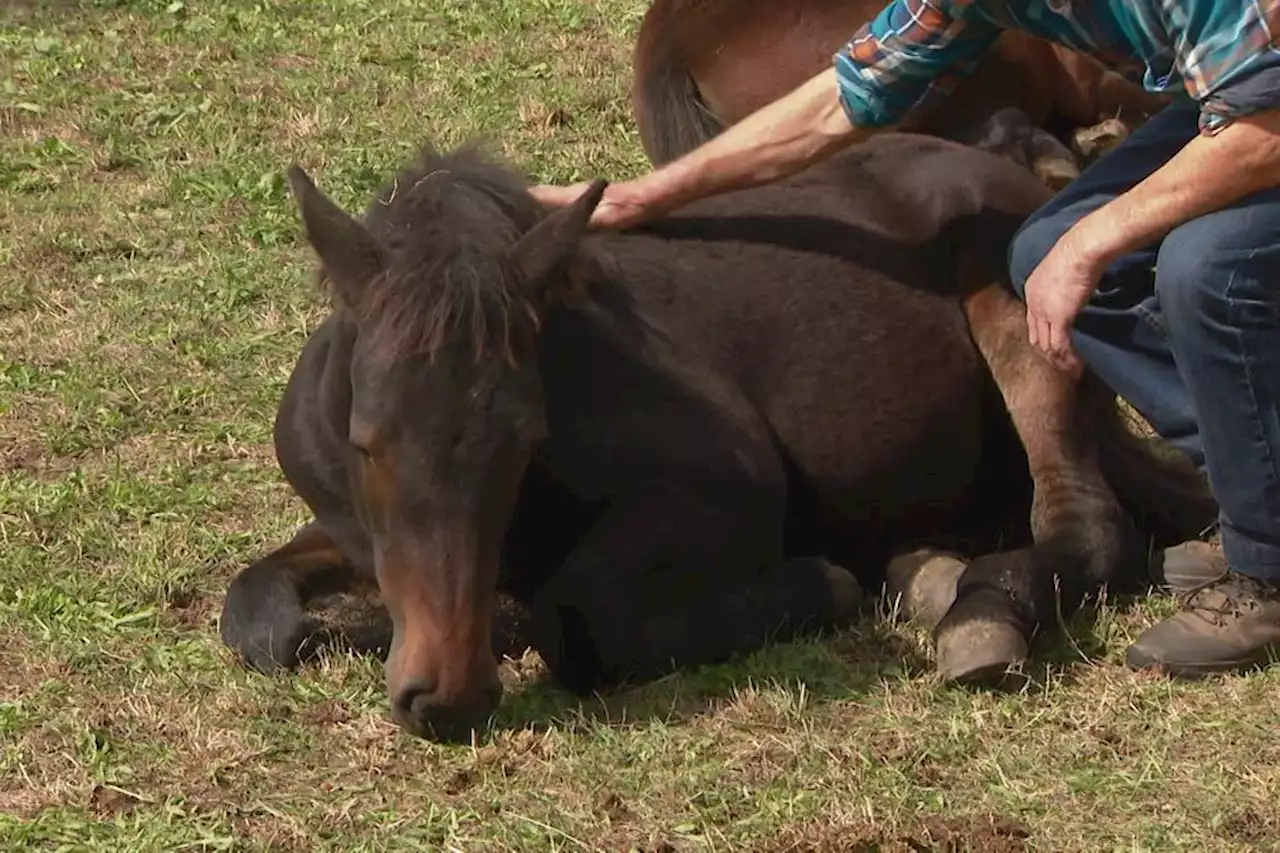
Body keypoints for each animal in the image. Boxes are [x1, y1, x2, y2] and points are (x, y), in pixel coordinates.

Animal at [217, 131, 1208, 737]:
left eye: (525, 438)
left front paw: (820, 583)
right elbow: (257, 612)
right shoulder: (348, 529)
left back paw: (975, 609)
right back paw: (926, 569)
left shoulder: (728, 486)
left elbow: (583, 616)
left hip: (1027, 306)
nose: (449, 696)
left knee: (1090, 526)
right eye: (367, 440)